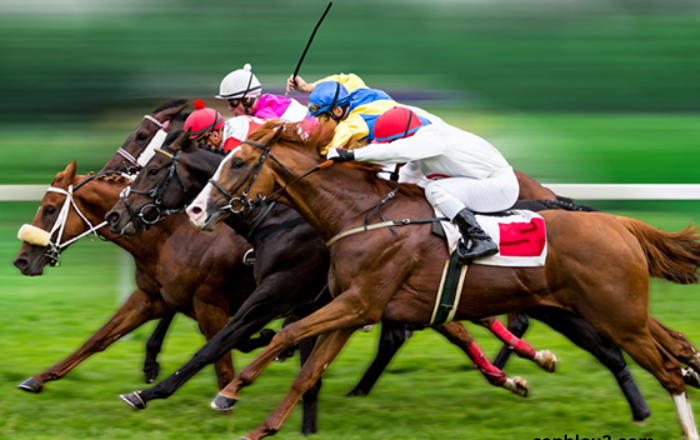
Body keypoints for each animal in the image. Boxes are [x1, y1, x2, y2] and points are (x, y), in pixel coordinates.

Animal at [191, 121, 700, 440]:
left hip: (616, 315)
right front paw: (261, 426)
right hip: (620, 311)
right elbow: (308, 368)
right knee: (677, 346)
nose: (196, 211)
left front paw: (228, 393)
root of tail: (620, 223)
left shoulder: (359, 302)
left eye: (238, 163)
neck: (362, 215)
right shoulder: (352, 307)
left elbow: (289, 334)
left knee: (667, 369)